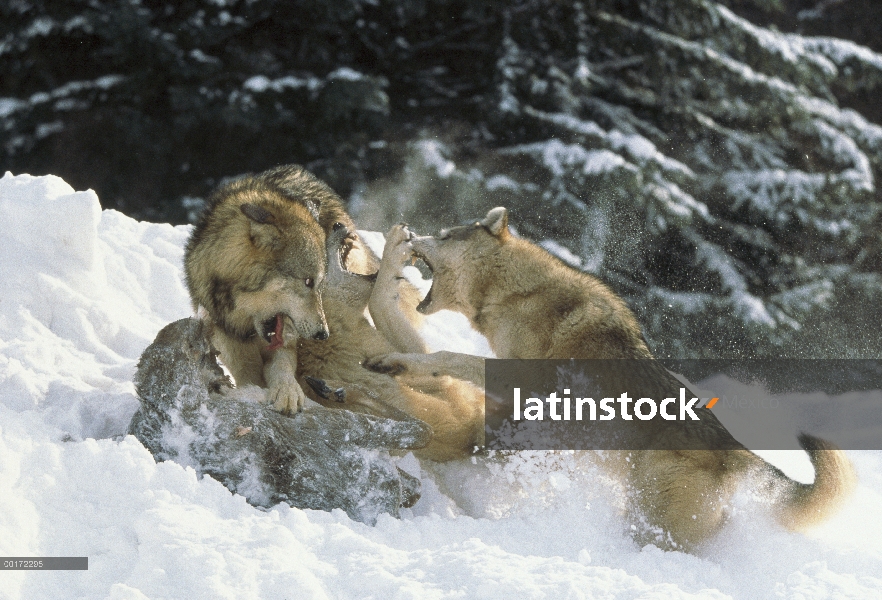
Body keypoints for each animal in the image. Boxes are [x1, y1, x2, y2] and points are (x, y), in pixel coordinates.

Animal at [184, 165, 376, 418]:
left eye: (319, 283)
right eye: (308, 281)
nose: (322, 334)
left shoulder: (287, 336)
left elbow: (283, 367)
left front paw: (288, 392)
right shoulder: (227, 336)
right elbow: (248, 375)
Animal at [366, 207, 852, 552]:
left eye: (445, 235)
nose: (409, 234)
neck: (517, 293)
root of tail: (738, 450)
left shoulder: (517, 375)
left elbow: (448, 356)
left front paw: (401, 364)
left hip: (651, 522)